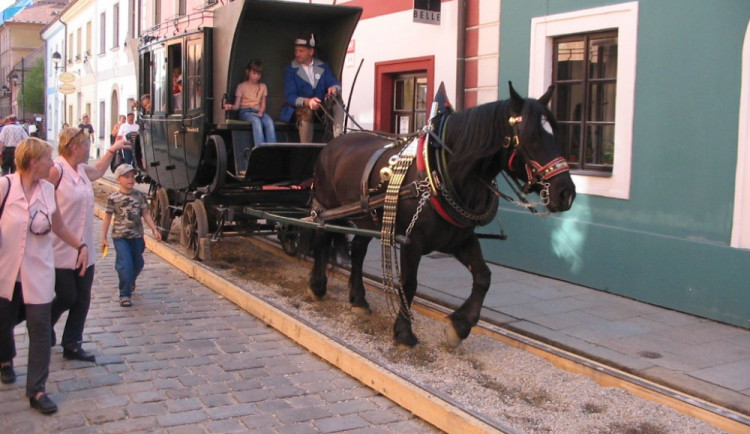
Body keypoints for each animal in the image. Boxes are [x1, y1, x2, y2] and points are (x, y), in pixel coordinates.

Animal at [306, 81, 576, 348]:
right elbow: (409, 283)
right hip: (326, 210)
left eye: (557, 134)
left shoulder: (459, 239)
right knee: (320, 240)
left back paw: (358, 300)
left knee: (358, 250)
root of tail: (334, 142)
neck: (439, 174)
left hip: (368, 219)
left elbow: (483, 277)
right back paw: (317, 286)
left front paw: (460, 326)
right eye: (531, 136)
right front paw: (404, 331)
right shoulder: (411, 242)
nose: (566, 193)